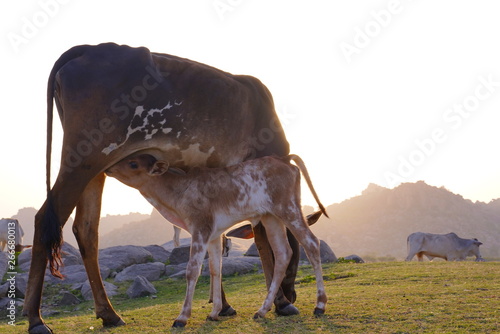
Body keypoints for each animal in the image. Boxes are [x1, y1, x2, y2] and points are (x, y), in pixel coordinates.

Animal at [23, 43, 300, 332]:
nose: (292, 294)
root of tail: (89, 48)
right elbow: (263, 241)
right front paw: (279, 303)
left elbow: (215, 245)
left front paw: (221, 306)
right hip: (81, 161)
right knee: (46, 219)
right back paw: (36, 319)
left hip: (95, 169)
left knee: (86, 229)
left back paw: (109, 313)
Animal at [106, 154, 328, 326]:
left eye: (133, 163)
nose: (108, 168)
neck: (175, 198)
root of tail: (284, 159)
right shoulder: (213, 235)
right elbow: (215, 269)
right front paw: (214, 312)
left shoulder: (200, 228)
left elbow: (192, 271)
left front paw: (182, 317)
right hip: (270, 217)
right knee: (283, 253)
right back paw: (262, 310)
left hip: (289, 208)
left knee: (311, 243)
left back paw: (320, 305)